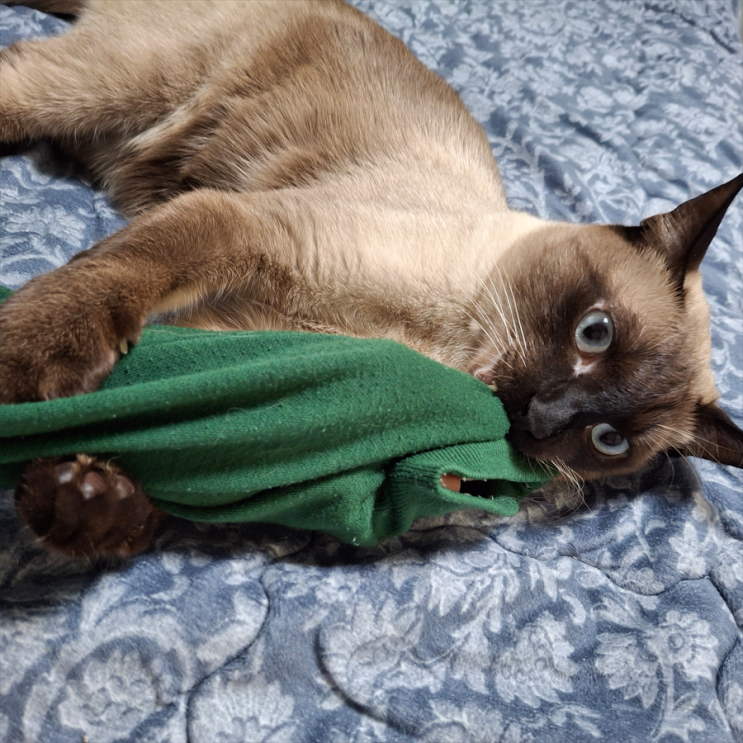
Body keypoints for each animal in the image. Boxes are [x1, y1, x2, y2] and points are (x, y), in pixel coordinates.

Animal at [0, 0, 742, 558]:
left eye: (607, 440)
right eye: (594, 332)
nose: (545, 413)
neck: (438, 344)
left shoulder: (236, 333)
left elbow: (171, 435)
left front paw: (86, 501)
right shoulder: (255, 228)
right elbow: (117, 293)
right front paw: (27, 369)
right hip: (98, 90)